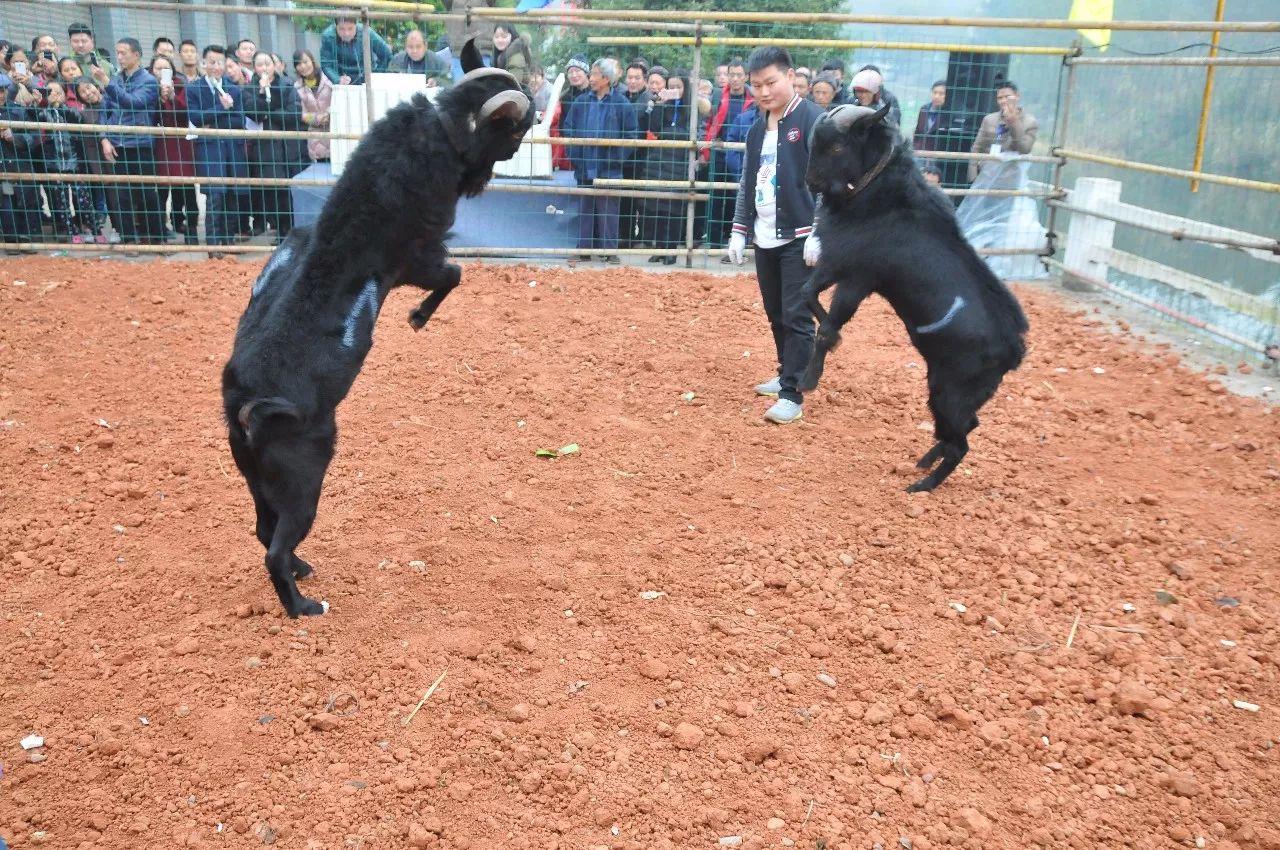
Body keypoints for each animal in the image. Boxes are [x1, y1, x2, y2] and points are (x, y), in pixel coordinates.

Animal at [222, 41, 532, 617]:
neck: (441, 128)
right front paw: (418, 318)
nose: (537, 118)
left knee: (264, 531)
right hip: (304, 479)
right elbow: (453, 275)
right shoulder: (417, 259)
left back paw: (303, 569)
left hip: (256, 479)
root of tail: (248, 404)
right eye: (516, 126)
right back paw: (304, 605)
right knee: (274, 546)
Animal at [798, 103, 1029, 494]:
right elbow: (807, 294)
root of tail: (1014, 352)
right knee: (967, 428)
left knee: (961, 442)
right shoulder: (839, 267)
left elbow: (825, 321)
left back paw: (923, 485)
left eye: (837, 147)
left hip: (950, 392)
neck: (883, 197)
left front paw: (809, 379)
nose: (810, 183)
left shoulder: (857, 275)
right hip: (953, 391)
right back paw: (924, 461)